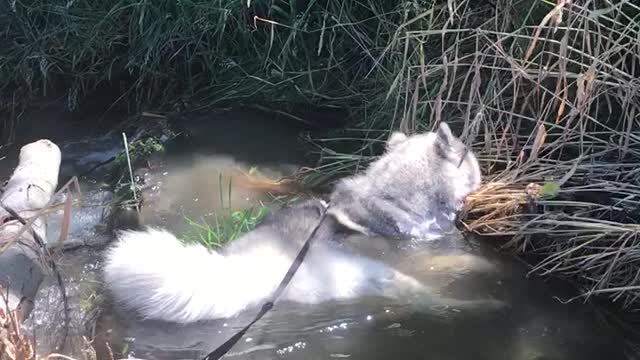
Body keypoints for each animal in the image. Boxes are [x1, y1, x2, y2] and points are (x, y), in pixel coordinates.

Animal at [102, 123, 484, 324]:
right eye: (471, 159)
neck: (394, 198)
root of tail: (238, 270)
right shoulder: (420, 256)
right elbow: (463, 260)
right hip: (380, 279)